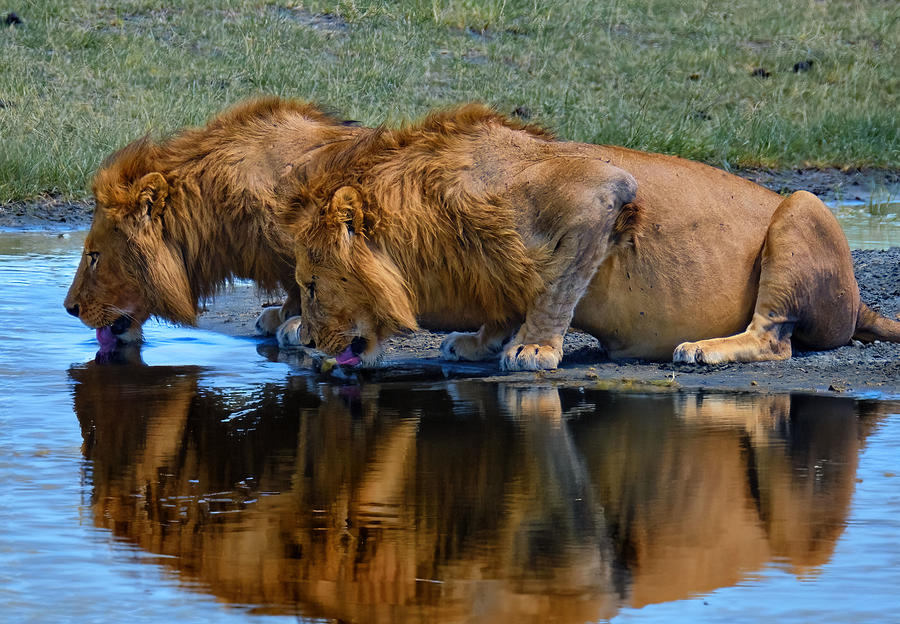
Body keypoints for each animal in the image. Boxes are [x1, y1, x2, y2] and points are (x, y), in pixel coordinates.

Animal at [282, 104, 900, 370]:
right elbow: (510, 300)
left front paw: (533, 349)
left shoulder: (602, 193)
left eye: (310, 287)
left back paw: (705, 349)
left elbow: (553, 290)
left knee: (775, 339)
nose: (305, 341)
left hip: (803, 205)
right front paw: (482, 342)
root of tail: (859, 300)